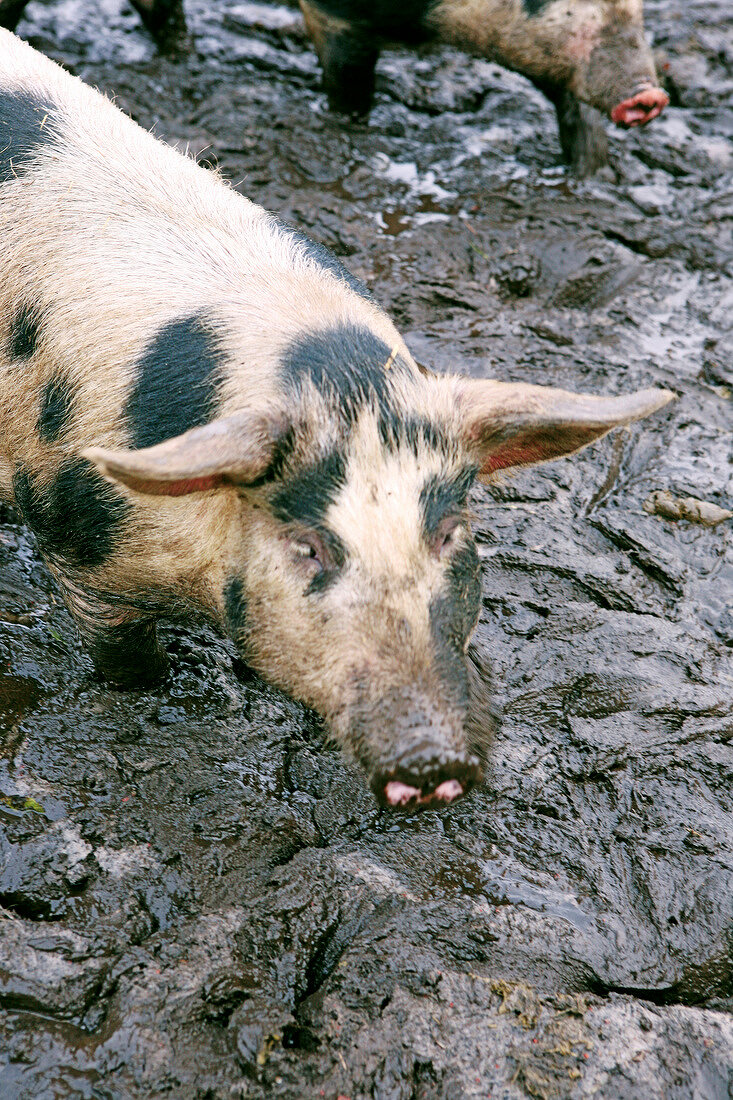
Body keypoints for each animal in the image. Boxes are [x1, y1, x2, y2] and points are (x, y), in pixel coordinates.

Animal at [299, 0, 669, 174]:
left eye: (637, 13)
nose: (650, 95)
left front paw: (592, 172)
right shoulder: (333, 16)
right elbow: (348, 81)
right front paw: (348, 124)